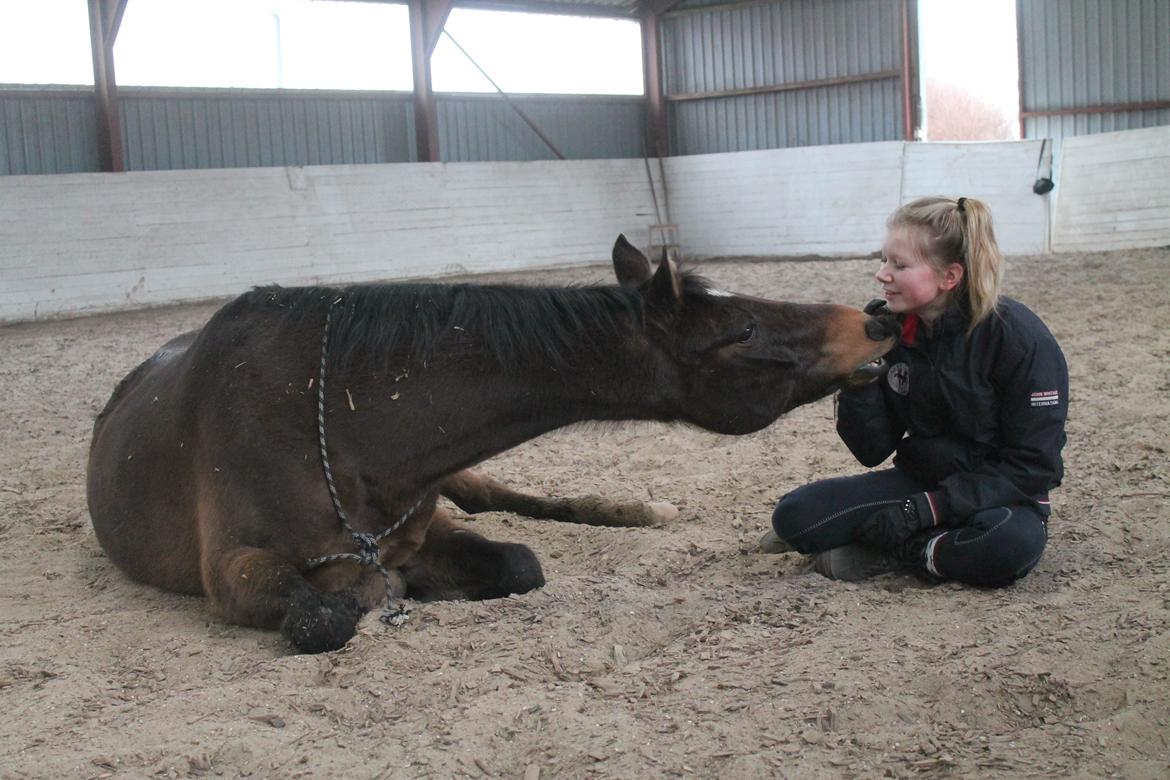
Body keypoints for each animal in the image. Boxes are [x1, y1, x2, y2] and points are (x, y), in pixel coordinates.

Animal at [86, 236, 893, 654]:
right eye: (744, 330)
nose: (875, 321)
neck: (335, 424)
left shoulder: (427, 521)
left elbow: (518, 561)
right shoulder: (231, 570)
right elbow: (324, 618)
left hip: (468, 480)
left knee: (520, 498)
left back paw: (635, 510)